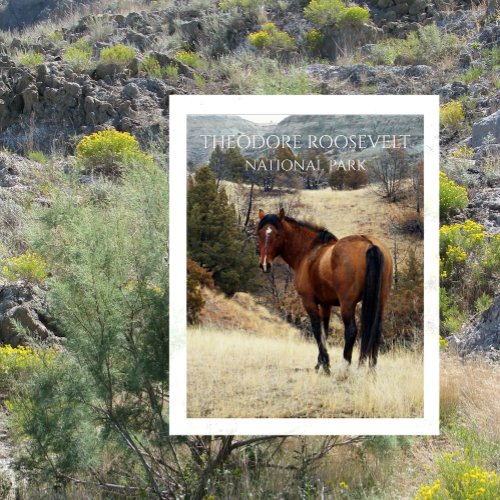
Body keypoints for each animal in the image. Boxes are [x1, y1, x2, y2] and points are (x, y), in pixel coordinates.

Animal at [260, 207, 392, 376]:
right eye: (260, 233)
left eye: (277, 235)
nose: (264, 265)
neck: (309, 252)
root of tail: (369, 244)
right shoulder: (325, 304)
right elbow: (325, 331)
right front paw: (320, 364)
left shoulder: (309, 302)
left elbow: (317, 331)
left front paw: (326, 365)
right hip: (380, 302)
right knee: (376, 331)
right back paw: (372, 371)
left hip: (347, 305)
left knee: (351, 331)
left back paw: (344, 369)